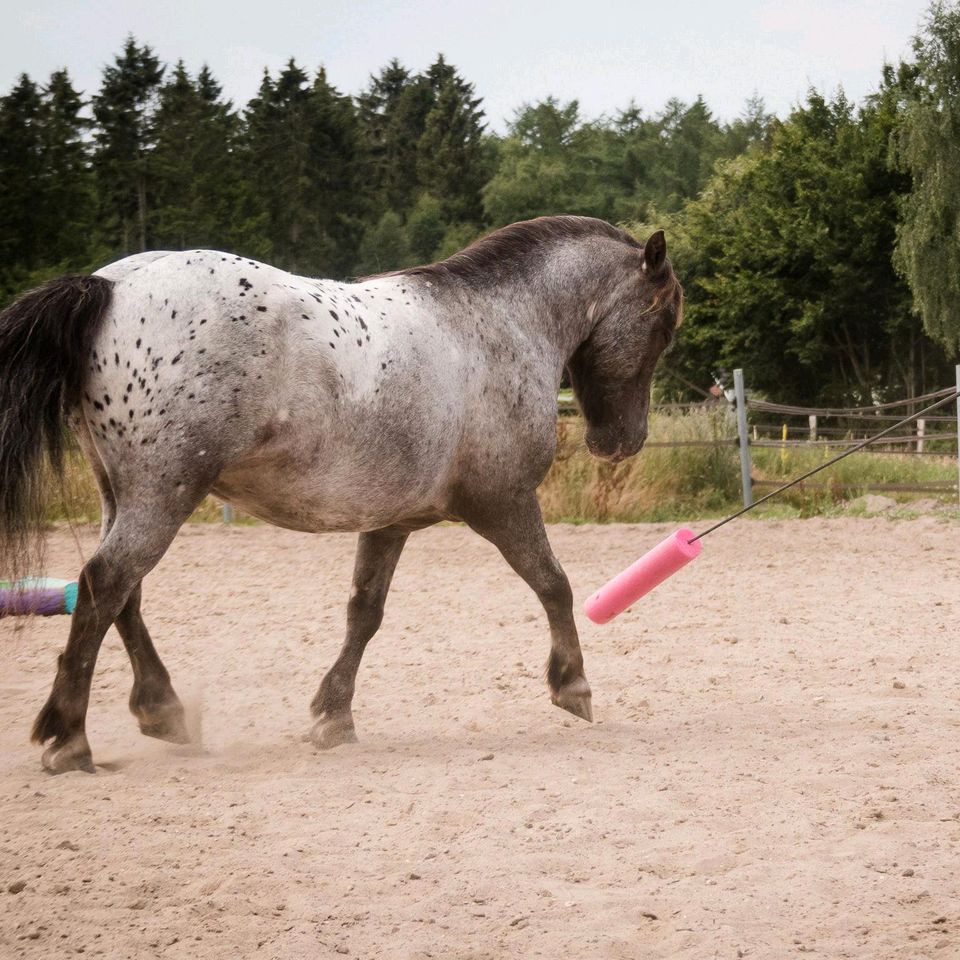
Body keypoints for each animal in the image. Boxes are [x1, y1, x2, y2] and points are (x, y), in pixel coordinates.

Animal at [0, 216, 684, 772]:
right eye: (664, 326)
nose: (621, 442)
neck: (498, 324)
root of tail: (111, 287)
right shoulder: (504, 502)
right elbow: (554, 583)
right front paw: (574, 686)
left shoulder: (391, 522)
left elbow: (365, 614)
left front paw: (333, 716)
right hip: (163, 495)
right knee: (105, 584)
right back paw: (69, 738)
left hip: (124, 496)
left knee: (122, 594)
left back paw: (160, 711)